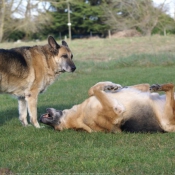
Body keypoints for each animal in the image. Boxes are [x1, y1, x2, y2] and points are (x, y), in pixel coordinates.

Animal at [40, 81, 175, 133]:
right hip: (167, 118)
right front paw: (109, 86)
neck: (77, 115)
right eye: (57, 128)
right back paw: (160, 87)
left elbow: (92, 89)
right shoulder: (115, 111)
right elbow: (95, 90)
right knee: (171, 87)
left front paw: (111, 86)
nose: (41, 118)